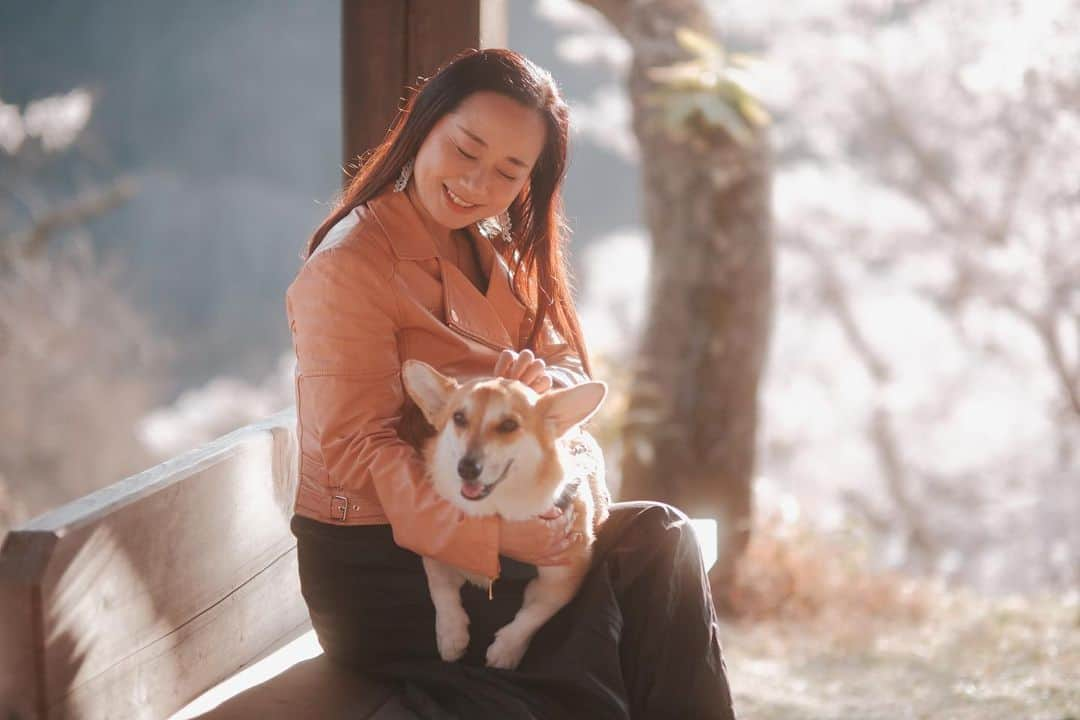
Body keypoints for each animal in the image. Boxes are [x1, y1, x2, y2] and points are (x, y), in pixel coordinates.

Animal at [401, 360, 613, 669]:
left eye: (509, 425)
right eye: (459, 418)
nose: (466, 468)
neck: (494, 509)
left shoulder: (565, 577)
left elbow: (533, 616)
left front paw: (506, 651)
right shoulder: (436, 548)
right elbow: (440, 589)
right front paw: (451, 636)